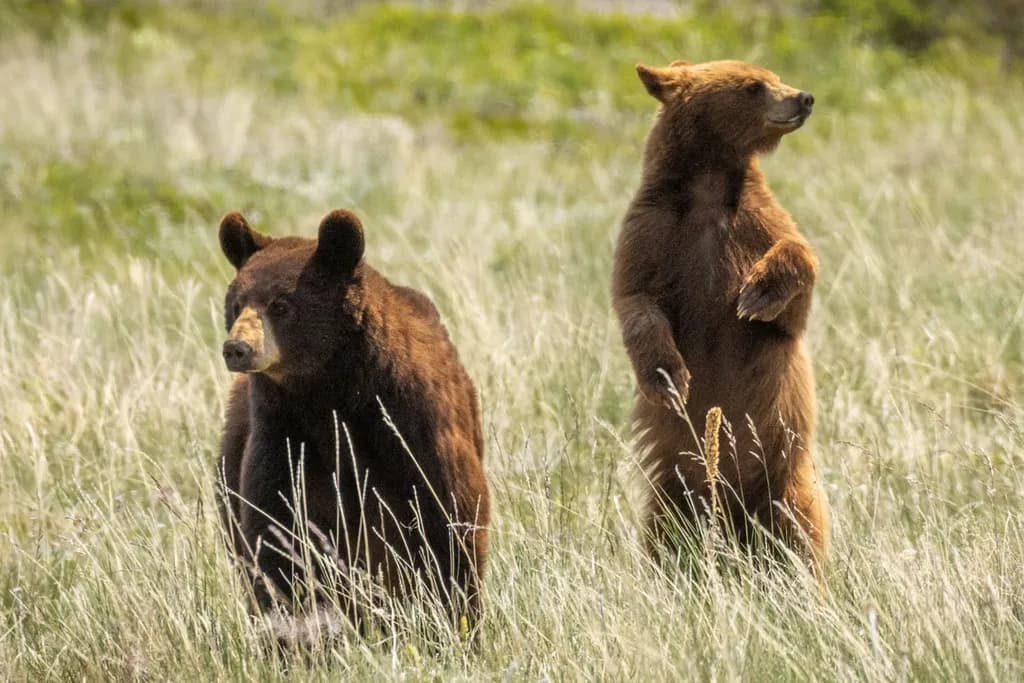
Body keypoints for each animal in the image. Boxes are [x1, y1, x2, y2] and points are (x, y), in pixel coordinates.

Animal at [215, 208, 489, 627]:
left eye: (281, 304)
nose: (237, 348)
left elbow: (451, 520)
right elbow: (275, 528)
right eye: (236, 304)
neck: (329, 392)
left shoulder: (414, 425)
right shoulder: (283, 432)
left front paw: (456, 620)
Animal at [611, 59, 830, 577]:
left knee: (800, 531)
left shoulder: (756, 222)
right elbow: (635, 299)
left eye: (774, 75)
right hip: (675, 489)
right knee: (666, 533)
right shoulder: (654, 231)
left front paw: (757, 293)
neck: (708, 184)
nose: (804, 97)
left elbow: (797, 275)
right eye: (754, 86)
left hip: (786, 477)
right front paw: (669, 377)